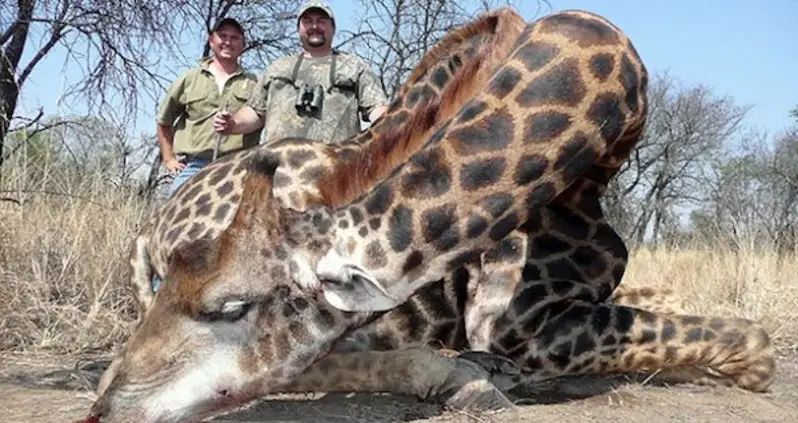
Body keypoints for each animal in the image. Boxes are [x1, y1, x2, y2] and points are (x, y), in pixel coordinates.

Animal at [87, 8, 775, 423]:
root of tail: (147, 233)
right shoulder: (521, 326)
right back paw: (465, 376)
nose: (106, 409)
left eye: (231, 306)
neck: (600, 162)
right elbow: (753, 343)